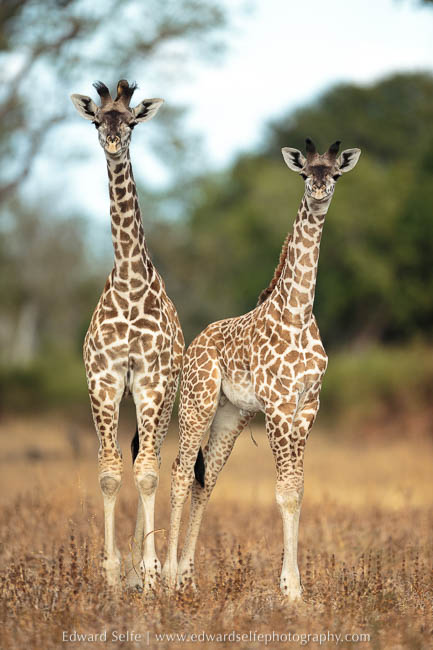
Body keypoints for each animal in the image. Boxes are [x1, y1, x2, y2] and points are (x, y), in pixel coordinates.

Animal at [162, 138, 360, 599]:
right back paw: (165, 577)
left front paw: (295, 587)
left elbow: (297, 490)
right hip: (197, 403)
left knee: (205, 482)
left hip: (231, 415)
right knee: (179, 472)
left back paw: (188, 578)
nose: (320, 190)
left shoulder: (308, 407)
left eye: (334, 173)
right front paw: (291, 589)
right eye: (305, 172)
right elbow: (284, 492)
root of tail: (193, 345)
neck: (298, 314)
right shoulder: (278, 405)